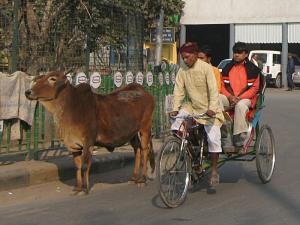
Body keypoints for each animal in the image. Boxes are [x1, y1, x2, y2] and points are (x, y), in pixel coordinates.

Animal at [24, 71, 156, 194]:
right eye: (41, 78)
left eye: (52, 79)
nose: (28, 92)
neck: (71, 105)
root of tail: (144, 92)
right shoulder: (74, 145)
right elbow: (77, 166)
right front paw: (78, 187)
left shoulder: (88, 141)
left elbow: (85, 165)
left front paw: (85, 188)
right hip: (132, 133)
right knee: (137, 149)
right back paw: (134, 178)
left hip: (145, 127)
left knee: (145, 150)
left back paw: (143, 179)